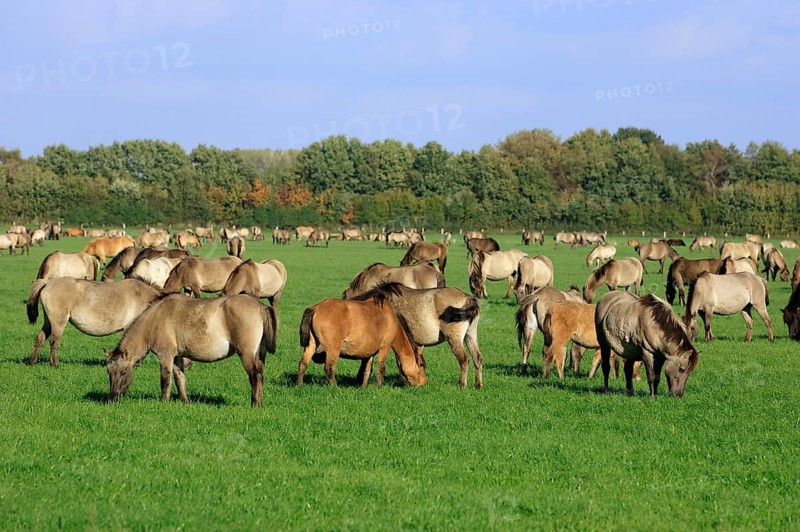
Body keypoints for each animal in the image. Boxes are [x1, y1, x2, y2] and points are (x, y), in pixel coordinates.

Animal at [27, 278, 161, 366]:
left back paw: (32, 361)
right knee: (54, 341)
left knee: (40, 338)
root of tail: (48, 282)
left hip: (48, 322)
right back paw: (54, 364)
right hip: (58, 322)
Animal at [105, 294, 277, 406]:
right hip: (260, 355)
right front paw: (185, 401)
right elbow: (179, 379)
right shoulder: (177, 357)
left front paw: (163, 401)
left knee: (254, 376)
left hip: (246, 354)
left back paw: (255, 404)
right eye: (109, 372)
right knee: (260, 375)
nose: (112, 398)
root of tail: (261, 306)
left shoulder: (165, 355)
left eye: (123, 372)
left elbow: (165, 379)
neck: (155, 319)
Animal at [296, 292, 427, 387]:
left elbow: (367, 369)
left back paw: (299, 385)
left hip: (311, 345)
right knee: (329, 368)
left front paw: (364, 387)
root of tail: (316, 308)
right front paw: (380, 387)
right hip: (333, 349)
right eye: (421, 365)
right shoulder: (385, 346)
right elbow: (381, 367)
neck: (390, 317)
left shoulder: (370, 353)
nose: (424, 382)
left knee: (303, 364)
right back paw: (335, 387)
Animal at [353, 283, 484, 388]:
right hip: (470, 336)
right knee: (477, 358)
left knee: (464, 360)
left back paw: (462, 384)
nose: (357, 382)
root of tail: (468, 298)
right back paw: (478, 385)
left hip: (454, 339)